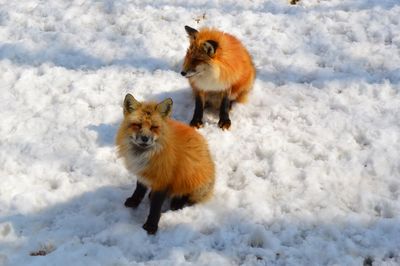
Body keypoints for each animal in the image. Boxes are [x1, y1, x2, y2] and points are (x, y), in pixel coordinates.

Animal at [115, 94, 216, 235]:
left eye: (154, 127)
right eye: (138, 125)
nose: (145, 138)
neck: (146, 155)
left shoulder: (163, 179)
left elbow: (155, 208)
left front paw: (151, 226)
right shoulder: (143, 173)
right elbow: (139, 190)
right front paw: (134, 201)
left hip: (192, 178)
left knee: (187, 196)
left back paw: (177, 203)